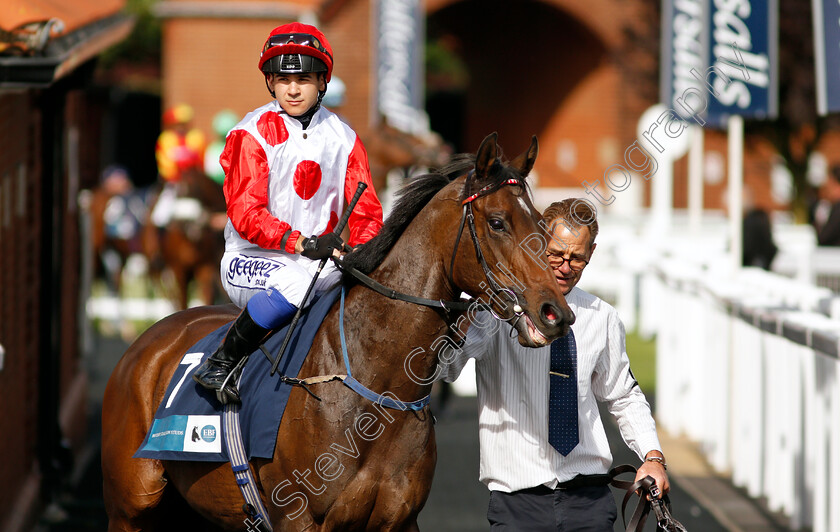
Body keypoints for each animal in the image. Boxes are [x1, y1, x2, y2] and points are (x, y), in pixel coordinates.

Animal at [101, 134, 576, 532]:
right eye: (497, 222)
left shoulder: (399, 521)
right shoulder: (299, 518)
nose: (555, 313)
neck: (376, 389)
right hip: (131, 510)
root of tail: (144, 343)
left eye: (540, 223)